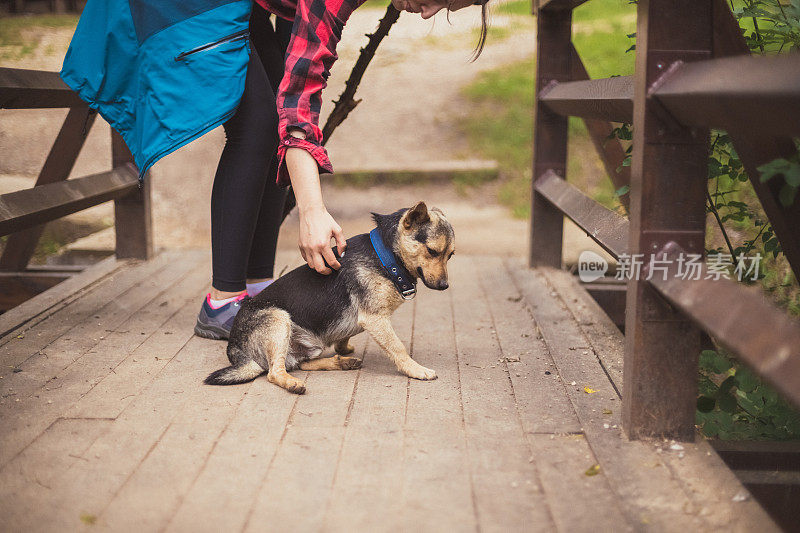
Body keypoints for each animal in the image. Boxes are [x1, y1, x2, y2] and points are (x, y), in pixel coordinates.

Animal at [205, 202, 456, 392]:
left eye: (451, 255)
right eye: (432, 251)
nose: (445, 286)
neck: (386, 257)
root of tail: (239, 354)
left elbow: (345, 336)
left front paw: (343, 349)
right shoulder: (375, 319)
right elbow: (397, 347)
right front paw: (416, 369)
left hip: (306, 345)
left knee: (300, 364)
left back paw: (341, 362)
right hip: (278, 320)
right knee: (275, 372)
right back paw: (293, 383)